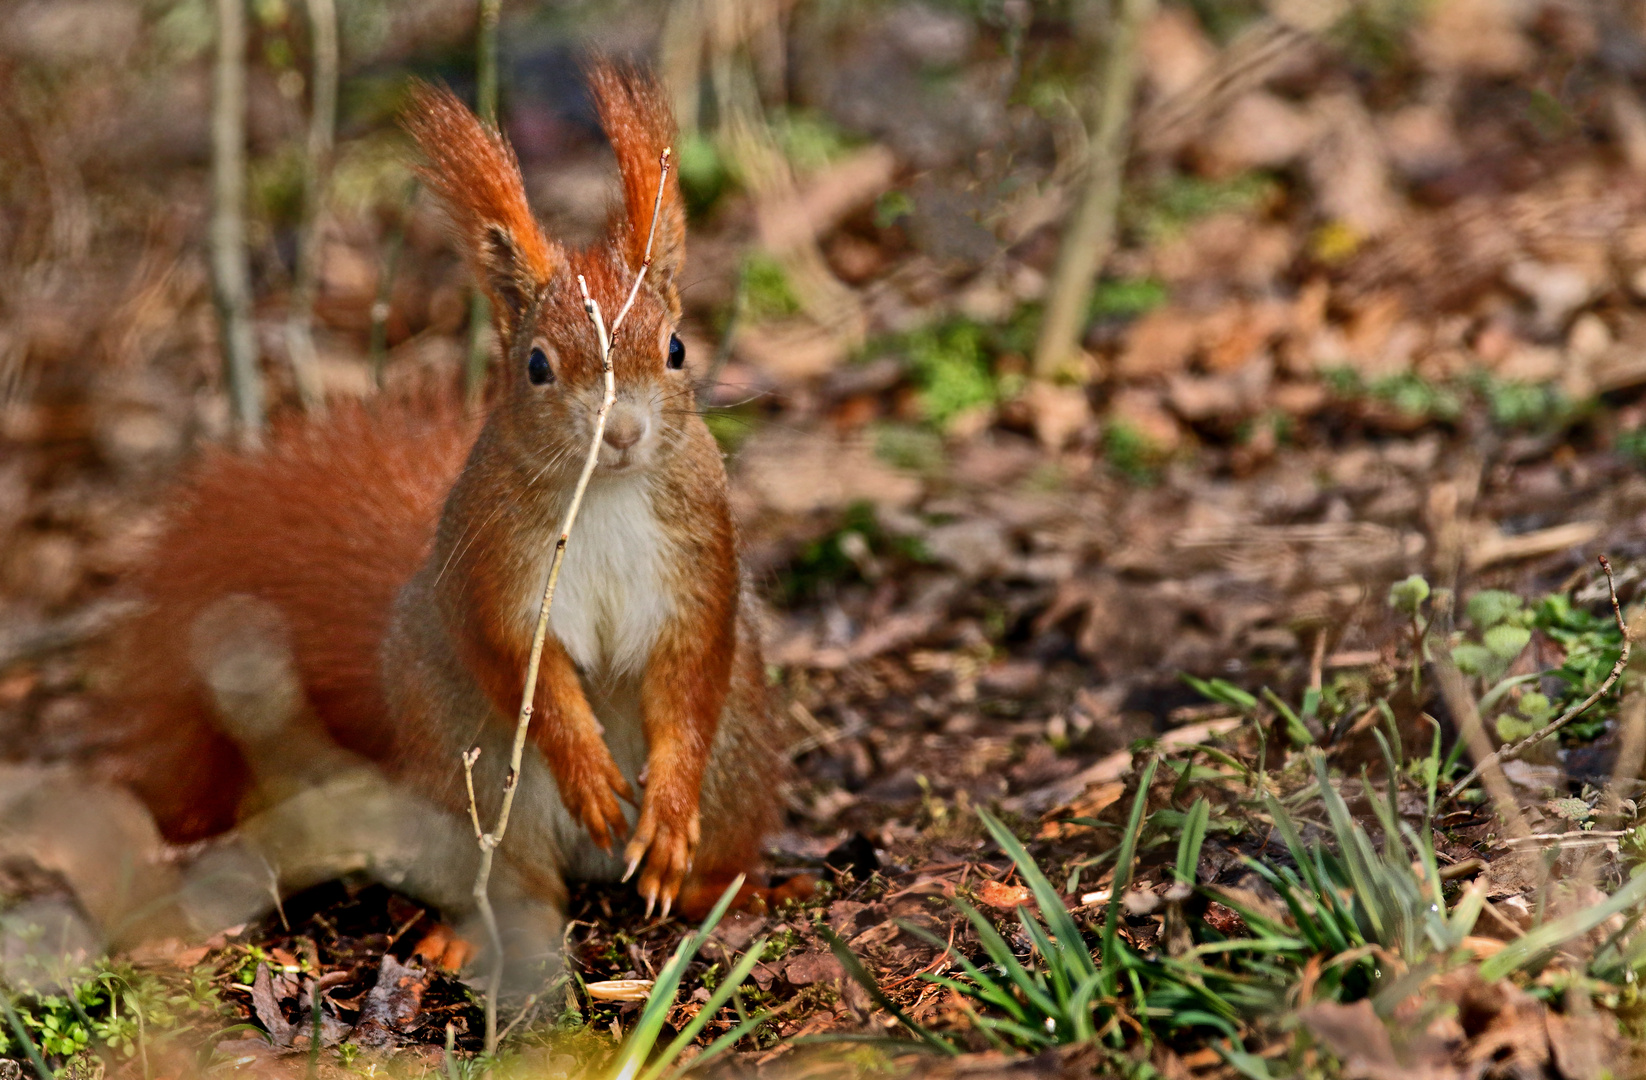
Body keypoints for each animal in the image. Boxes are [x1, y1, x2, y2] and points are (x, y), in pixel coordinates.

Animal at [102, 65, 790, 921]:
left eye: (676, 349)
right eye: (536, 365)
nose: (623, 430)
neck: (601, 495)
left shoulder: (700, 560)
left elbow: (692, 678)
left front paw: (665, 815)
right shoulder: (493, 570)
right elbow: (518, 668)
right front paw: (589, 771)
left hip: (740, 758)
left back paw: (719, 887)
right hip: (473, 775)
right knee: (521, 880)